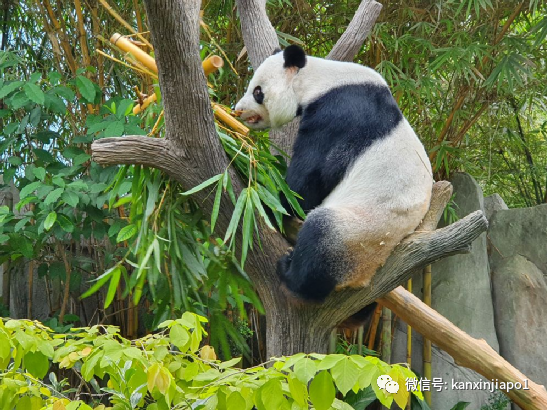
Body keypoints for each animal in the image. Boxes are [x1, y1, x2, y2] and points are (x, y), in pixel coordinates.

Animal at [238, 44, 434, 302]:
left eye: (258, 91)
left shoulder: (339, 114)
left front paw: (269, 195)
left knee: (319, 236)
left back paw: (290, 274)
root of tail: (362, 277)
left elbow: (309, 181)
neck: (320, 80)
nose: (238, 110)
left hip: (358, 233)